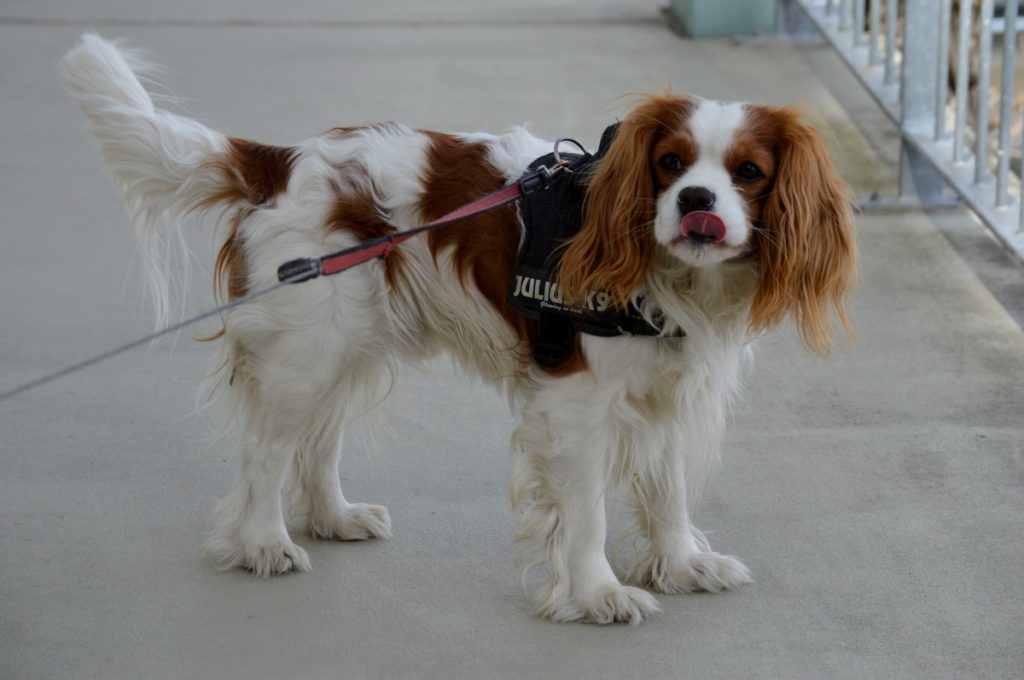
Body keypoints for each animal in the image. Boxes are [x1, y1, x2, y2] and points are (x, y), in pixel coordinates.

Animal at [61, 34, 856, 622]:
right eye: (669, 164)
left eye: (747, 173)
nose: (695, 199)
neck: (673, 279)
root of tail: (281, 161)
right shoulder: (579, 403)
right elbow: (588, 512)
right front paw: (597, 594)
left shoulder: (670, 391)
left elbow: (669, 492)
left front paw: (683, 564)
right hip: (308, 350)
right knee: (266, 451)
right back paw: (263, 545)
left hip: (347, 344)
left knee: (319, 440)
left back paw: (332, 516)